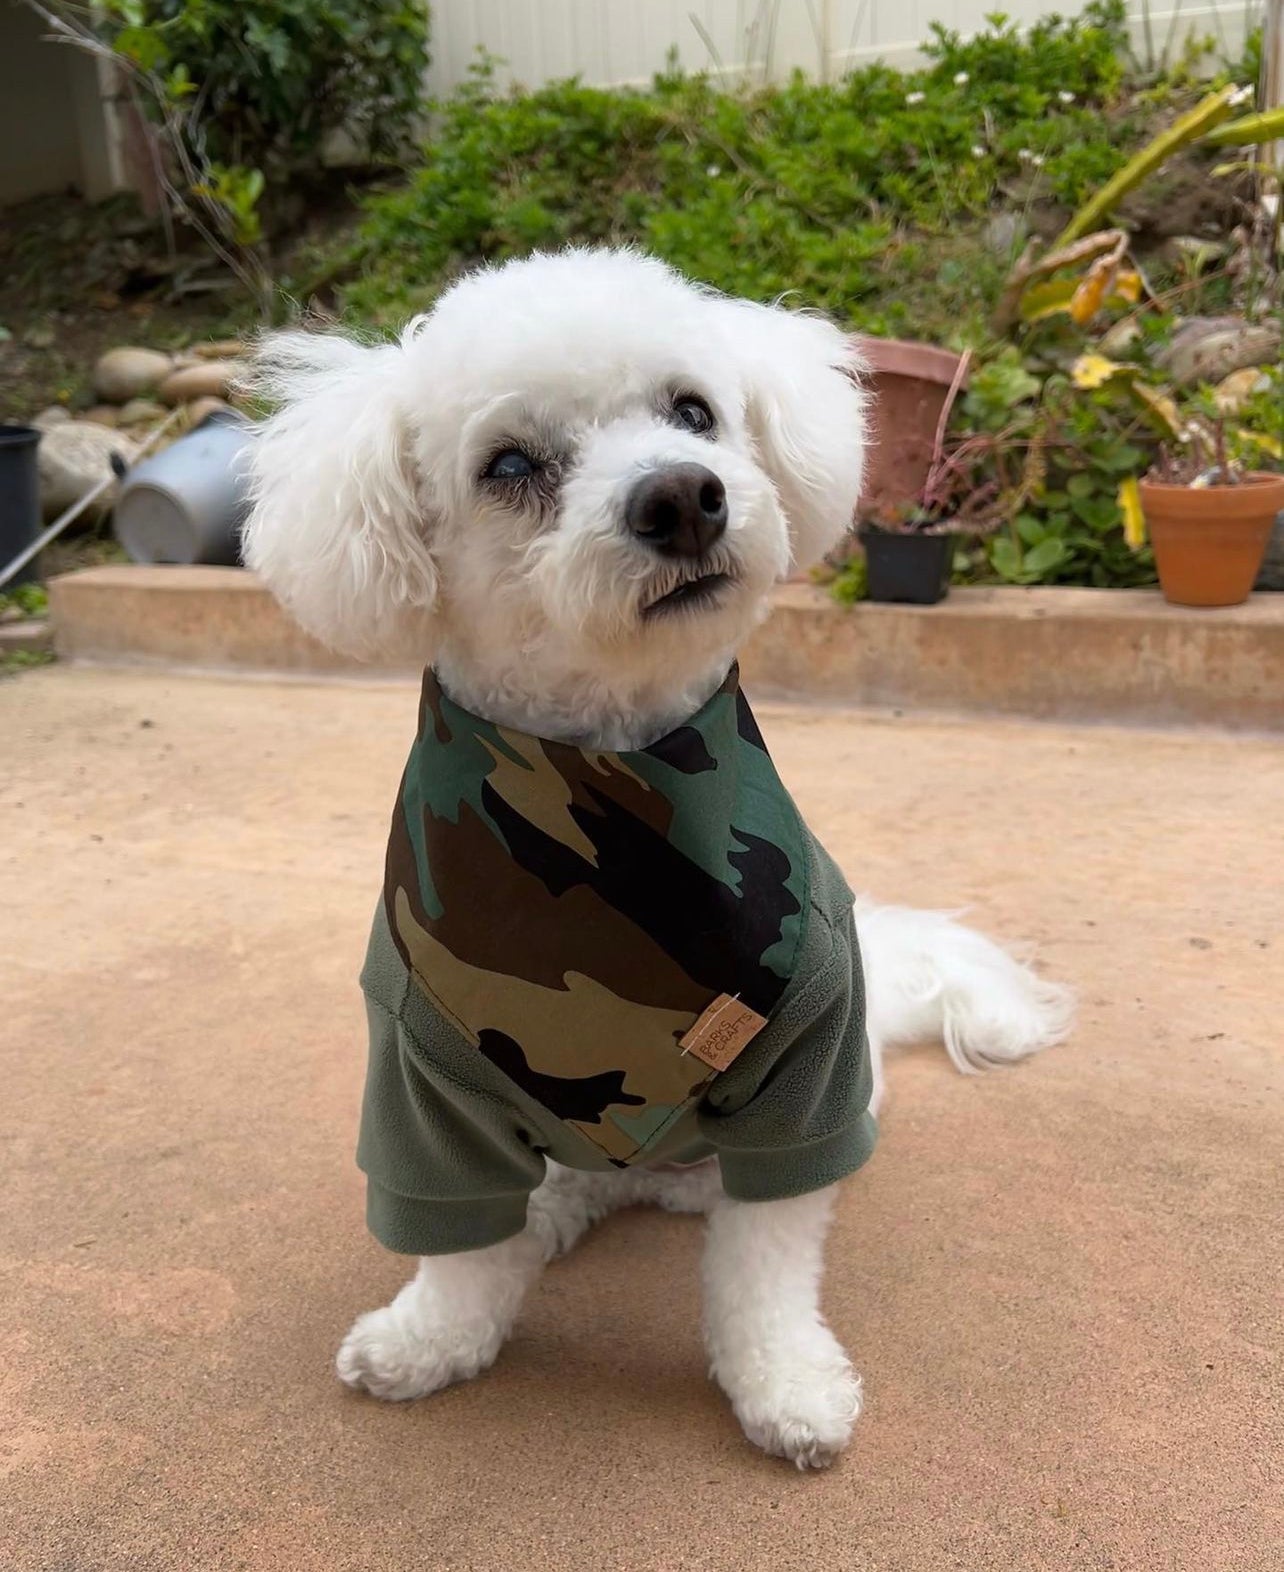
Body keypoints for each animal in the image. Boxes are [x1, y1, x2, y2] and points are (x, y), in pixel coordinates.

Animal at [243, 245, 1074, 1458]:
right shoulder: (419, 1085)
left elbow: (766, 1264)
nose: (683, 495)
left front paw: (786, 1384)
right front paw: (427, 1341)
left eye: (693, 412)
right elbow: (460, 1248)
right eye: (509, 465)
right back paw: (558, 1204)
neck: (610, 772)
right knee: (553, 1193)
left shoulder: (805, 1074)